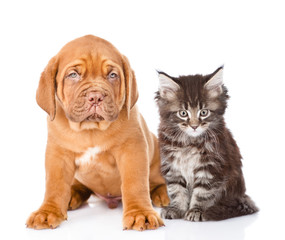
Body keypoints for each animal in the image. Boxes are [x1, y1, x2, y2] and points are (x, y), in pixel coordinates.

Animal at [26, 35, 169, 231]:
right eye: (73, 75)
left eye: (112, 75)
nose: (95, 97)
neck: (91, 129)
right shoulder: (58, 155)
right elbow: (54, 185)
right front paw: (48, 212)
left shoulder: (133, 149)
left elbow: (135, 183)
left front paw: (140, 213)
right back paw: (72, 194)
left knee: (157, 181)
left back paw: (161, 194)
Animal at [155, 66, 258, 221]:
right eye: (183, 113)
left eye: (203, 112)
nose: (194, 126)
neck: (189, 143)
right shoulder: (173, 167)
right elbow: (177, 190)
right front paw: (176, 209)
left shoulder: (210, 167)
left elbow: (202, 193)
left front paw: (195, 211)